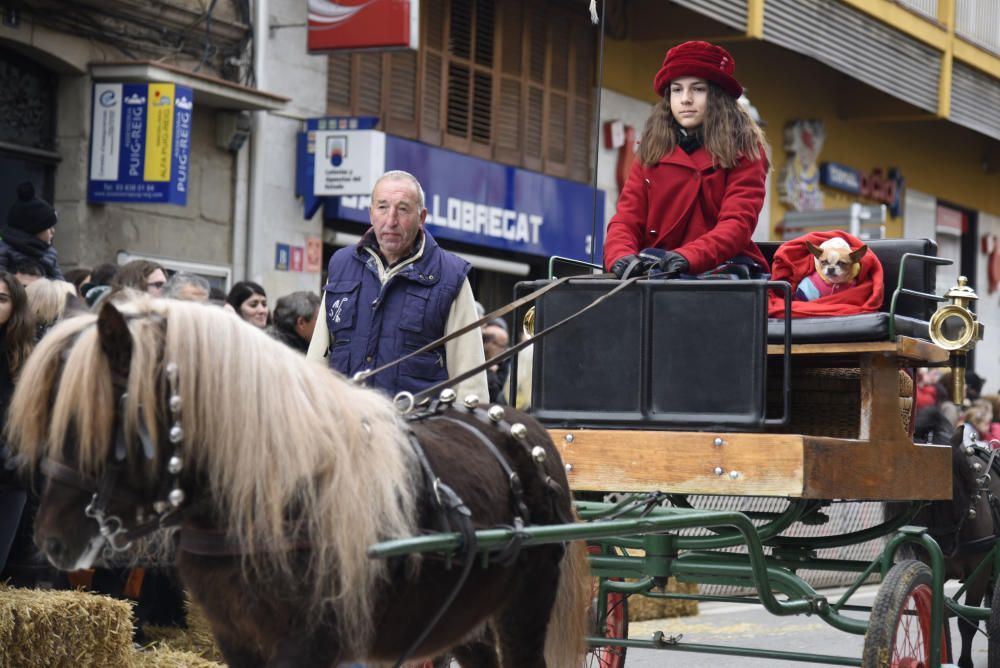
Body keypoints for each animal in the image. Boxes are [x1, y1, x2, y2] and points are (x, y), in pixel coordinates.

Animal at [9, 298, 584, 668]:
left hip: (527, 603)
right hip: (465, 615)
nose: (52, 540)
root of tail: (522, 425)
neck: (279, 490)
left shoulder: (310, 643)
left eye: (109, 418)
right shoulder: (237, 637)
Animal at [888, 412, 996, 668]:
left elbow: (967, 622)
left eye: (953, 486)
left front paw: (965, 662)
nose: (946, 546)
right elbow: (938, 613)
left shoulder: (980, 571)